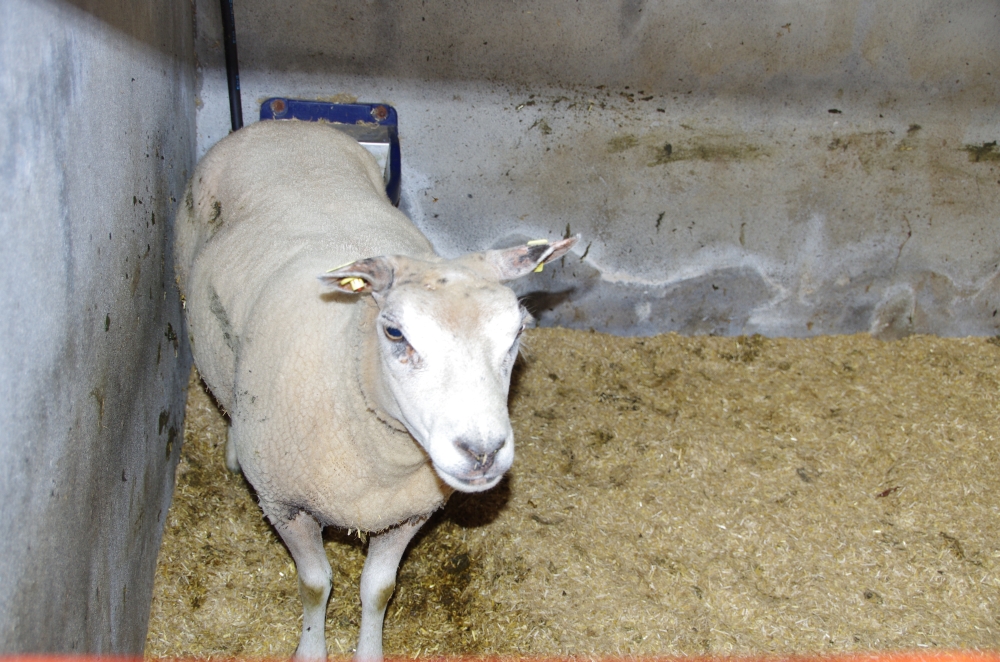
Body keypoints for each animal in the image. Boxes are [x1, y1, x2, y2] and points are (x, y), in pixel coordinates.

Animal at [173, 119, 578, 661]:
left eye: (518, 332)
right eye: (395, 333)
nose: (483, 452)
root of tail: (282, 125)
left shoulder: (406, 513)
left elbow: (378, 590)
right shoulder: (285, 506)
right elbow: (315, 584)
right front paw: (310, 650)